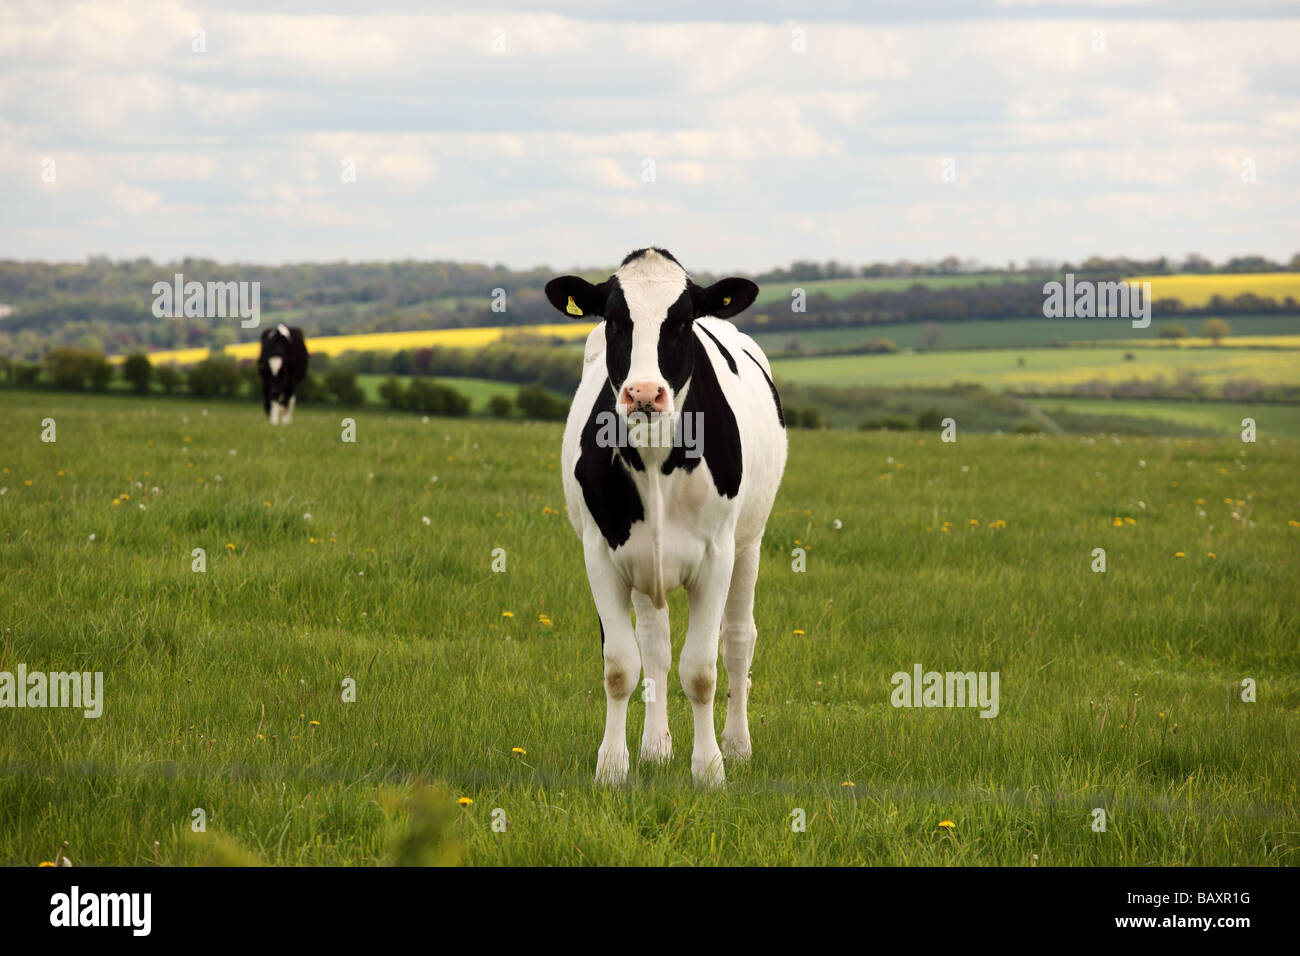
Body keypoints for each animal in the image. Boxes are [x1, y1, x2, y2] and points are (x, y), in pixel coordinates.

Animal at [547, 247, 787, 788]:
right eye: (615, 319)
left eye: (680, 322)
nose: (643, 393)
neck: (656, 458)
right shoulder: (600, 551)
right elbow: (621, 664)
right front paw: (613, 767)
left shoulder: (718, 554)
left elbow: (701, 669)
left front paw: (710, 769)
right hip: (644, 562)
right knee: (654, 644)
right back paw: (655, 747)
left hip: (750, 542)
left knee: (738, 639)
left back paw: (737, 745)